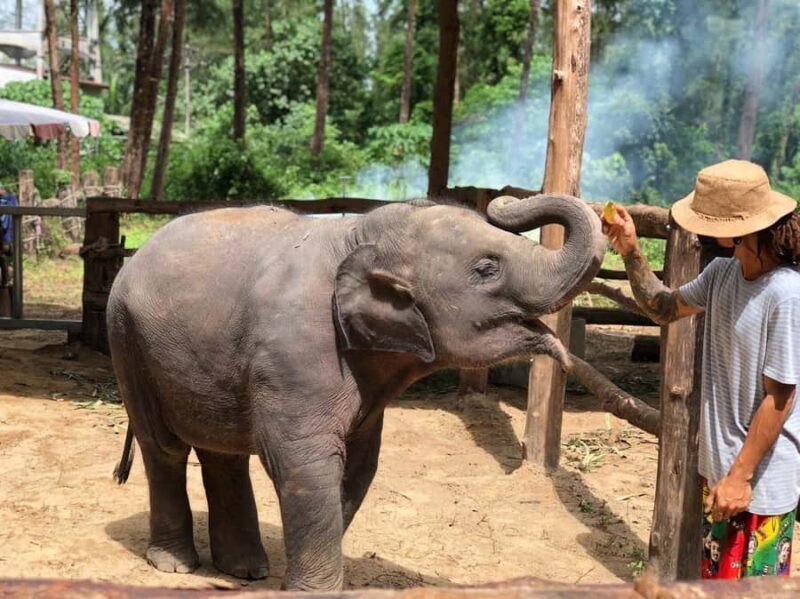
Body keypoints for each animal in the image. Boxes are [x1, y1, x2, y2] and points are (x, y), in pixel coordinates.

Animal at [108, 193, 605, 591]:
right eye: (487, 269)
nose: (504, 202)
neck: (359, 233)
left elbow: (361, 464)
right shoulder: (293, 355)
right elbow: (305, 463)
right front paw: (311, 591)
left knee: (222, 453)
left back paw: (245, 571)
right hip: (126, 340)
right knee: (164, 448)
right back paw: (176, 566)